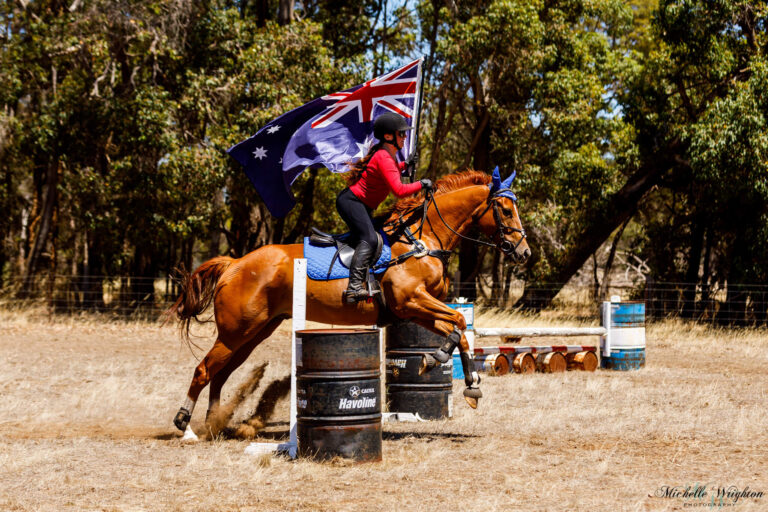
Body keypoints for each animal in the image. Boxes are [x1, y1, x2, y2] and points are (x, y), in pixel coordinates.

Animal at [167, 170, 528, 434]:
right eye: (505, 210)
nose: (524, 253)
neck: (423, 239)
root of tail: (234, 263)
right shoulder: (411, 301)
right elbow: (460, 322)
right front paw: (434, 359)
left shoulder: (415, 309)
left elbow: (459, 329)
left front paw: (469, 384)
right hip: (236, 333)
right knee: (204, 370)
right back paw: (185, 421)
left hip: (253, 333)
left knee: (220, 374)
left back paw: (214, 422)